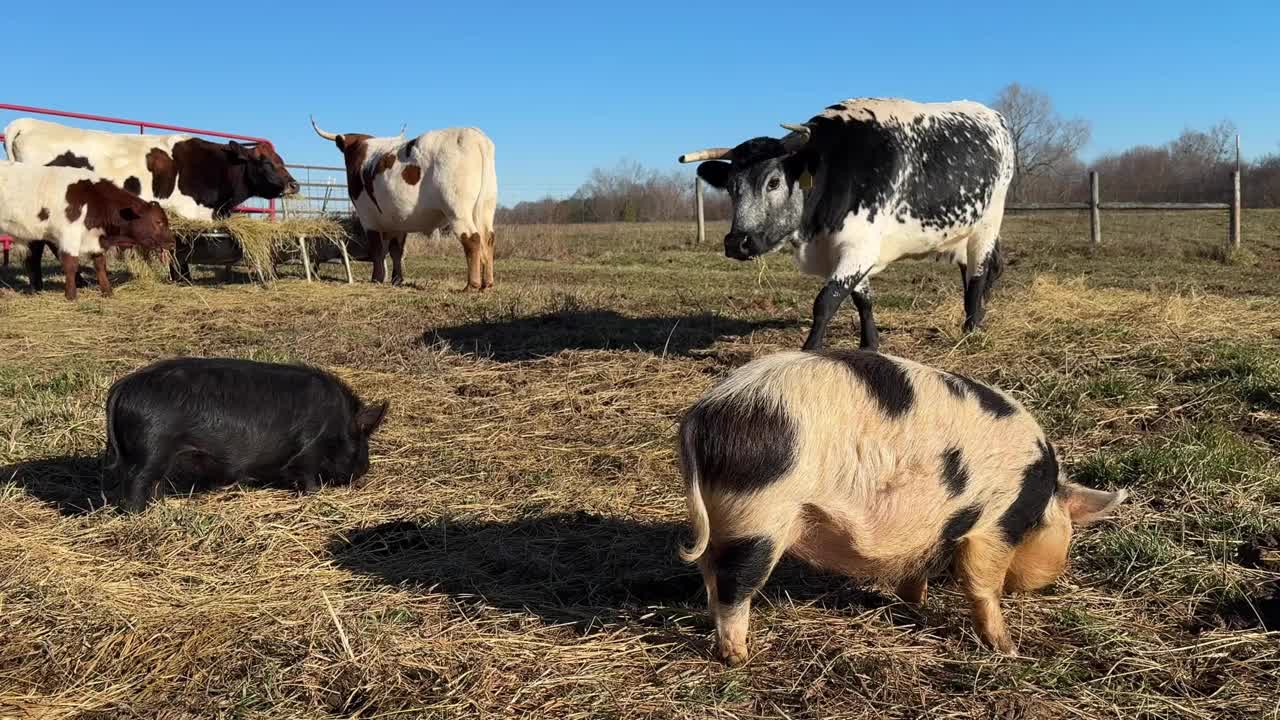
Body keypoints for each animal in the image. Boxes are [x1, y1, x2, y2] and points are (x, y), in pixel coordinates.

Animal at [0, 161, 175, 298]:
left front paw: (107, 291)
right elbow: (71, 264)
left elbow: (100, 264)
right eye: (159, 221)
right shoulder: (69, 235)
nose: (172, 242)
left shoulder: (96, 240)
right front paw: (71, 295)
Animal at [309, 116, 499, 286]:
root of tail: (475, 136)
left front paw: (377, 278)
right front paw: (396, 279)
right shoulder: (398, 222)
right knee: (488, 238)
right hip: (486, 208)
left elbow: (377, 250)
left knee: (472, 238)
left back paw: (472, 285)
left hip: (458, 210)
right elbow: (396, 251)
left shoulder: (368, 218)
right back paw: (487, 283)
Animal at [675, 348, 1126, 661]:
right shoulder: (994, 524)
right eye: (1067, 534)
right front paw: (1008, 649)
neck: (1038, 496)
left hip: (726, 516)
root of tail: (704, 412)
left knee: (711, 573)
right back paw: (738, 657)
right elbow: (983, 583)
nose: (1055, 578)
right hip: (760, 513)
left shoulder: (933, 532)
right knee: (736, 582)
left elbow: (917, 569)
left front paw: (915, 604)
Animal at [680, 98, 1008, 351]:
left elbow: (826, 301)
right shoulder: (849, 251)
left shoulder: (859, 248)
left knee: (978, 276)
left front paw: (810, 350)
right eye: (731, 187)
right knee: (975, 272)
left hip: (988, 225)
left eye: (773, 182)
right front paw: (869, 344)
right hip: (962, 232)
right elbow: (862, 300)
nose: (737, 243)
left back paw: (971, 327)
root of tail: (993, 116)